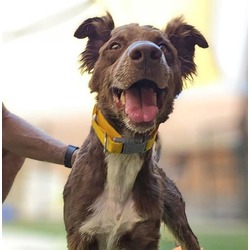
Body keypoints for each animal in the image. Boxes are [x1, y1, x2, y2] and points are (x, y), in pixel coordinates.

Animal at [63, 12, 208, 249]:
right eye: (114, 45)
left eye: (164, 47)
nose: (148, 52)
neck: (125, 149)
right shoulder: (80, 234)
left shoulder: (145, 234)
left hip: (179, 219)